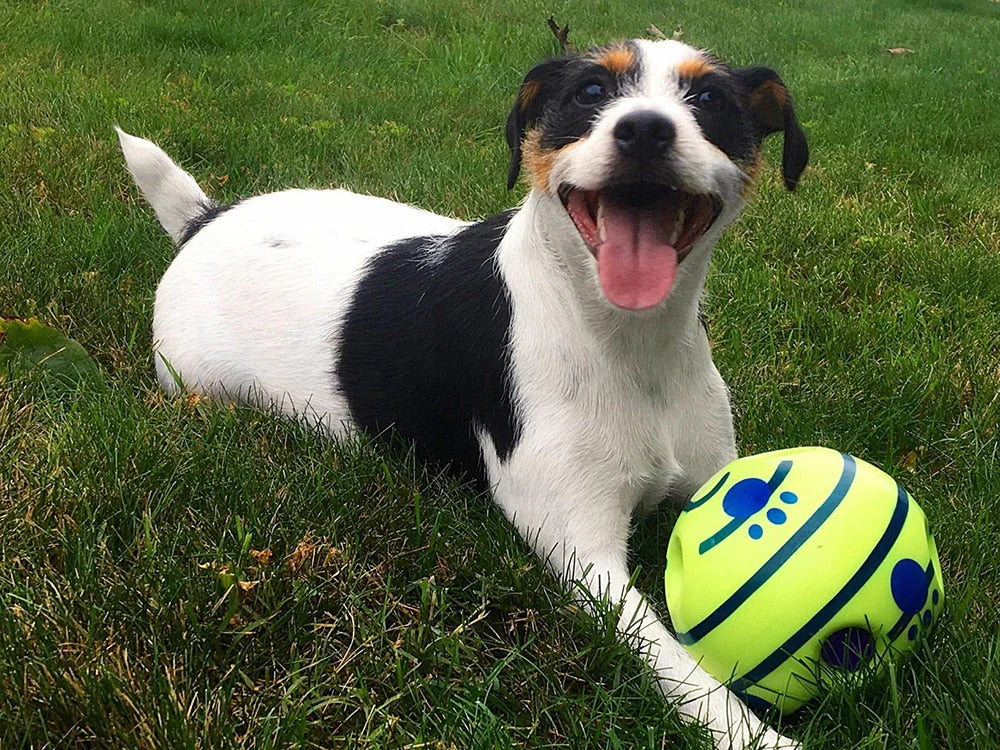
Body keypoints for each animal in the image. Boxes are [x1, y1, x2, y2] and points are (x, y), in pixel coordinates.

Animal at [119, 39, 804, 750]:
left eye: (710, 99)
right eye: (590, 92)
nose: (644, 129)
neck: (628, 339)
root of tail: (203, 222)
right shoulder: (586, 561)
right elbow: (679, 667)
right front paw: (756, 734)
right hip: (194, 379)